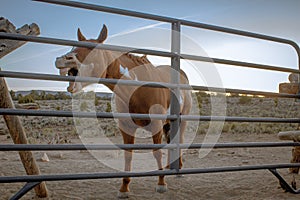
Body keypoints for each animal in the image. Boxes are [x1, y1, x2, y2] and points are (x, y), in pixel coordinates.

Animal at [55, 24, 192, 198]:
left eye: (93, 49)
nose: (62, 60)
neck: (138, 89)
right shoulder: (126, 127)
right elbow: (128, 155)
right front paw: (124, 188)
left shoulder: (156, 125)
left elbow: (156, 152)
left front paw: (161, 183)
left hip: (182, 118)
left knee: (179, 139)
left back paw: (178, 168)